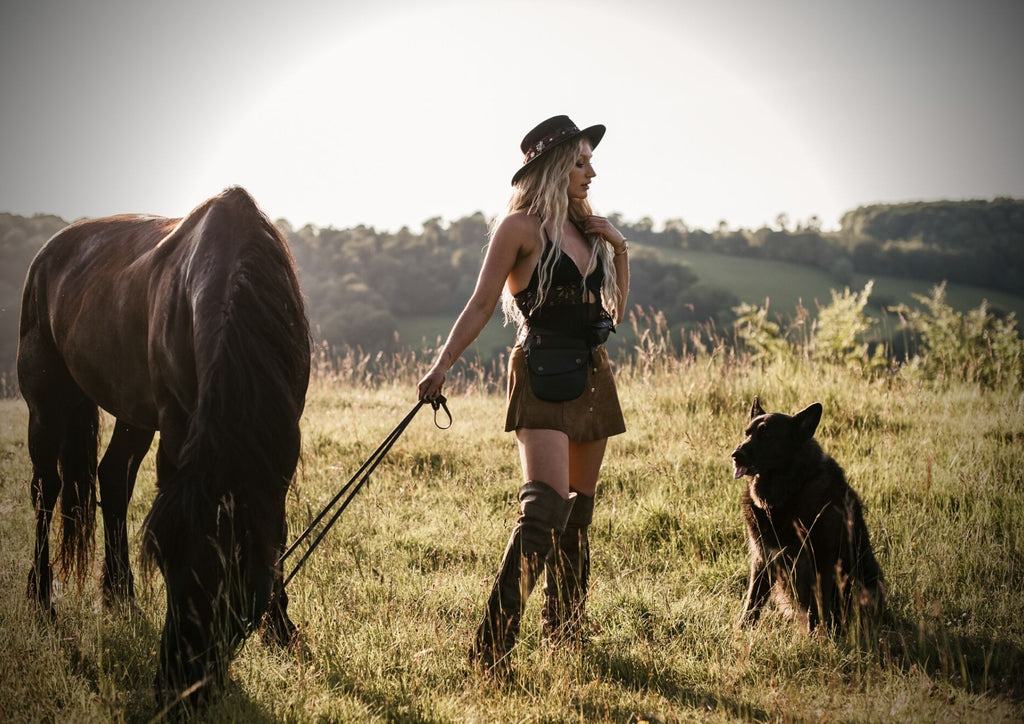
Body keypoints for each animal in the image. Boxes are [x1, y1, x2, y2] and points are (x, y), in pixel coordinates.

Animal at [17, 185, 311, 708]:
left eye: (231, 579)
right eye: (168, 569)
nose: (177, 693)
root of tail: (48, 254)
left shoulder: (279, 443)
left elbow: (274, 531)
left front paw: (281, 629)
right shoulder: (177, 427)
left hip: (132, 411)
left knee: (112, 478)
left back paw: (120, 596)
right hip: (45, 401)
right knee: (46, 490)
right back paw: (42, 599)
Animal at [733, 399, 884, 630]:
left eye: (766, 435)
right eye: (746, 433)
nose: (735, 455)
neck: (789, 492)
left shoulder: (820, 562)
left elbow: (817, 606)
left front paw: (815, 636)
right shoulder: (762, 558)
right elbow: (752, 601)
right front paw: (743, 629)